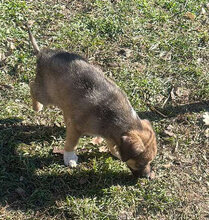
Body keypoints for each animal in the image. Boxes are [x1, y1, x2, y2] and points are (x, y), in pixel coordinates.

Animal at [27, 24, 157, 178]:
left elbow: (111, 144)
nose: (148, 178)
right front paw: (69, 158)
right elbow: (71, 143)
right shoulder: (76, 128)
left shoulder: (110, 134)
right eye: (141, 163)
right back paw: (37, 107)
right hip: (46, 95)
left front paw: (116, 153)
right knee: (31, 86)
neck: (116, 118)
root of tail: (42, 53)